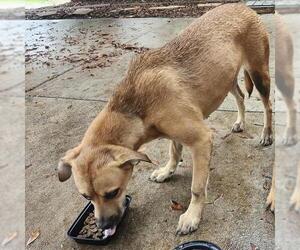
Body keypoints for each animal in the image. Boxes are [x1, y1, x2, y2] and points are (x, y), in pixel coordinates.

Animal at [57, 2, 274, 235]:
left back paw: (267, 134)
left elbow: (197, 187)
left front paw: (192, 215)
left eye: (112, 192)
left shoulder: (201, 139)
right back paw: (240, 122)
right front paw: (167, 171)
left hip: (259, 73)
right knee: (241, 96)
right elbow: (174, 151)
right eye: (86, 196)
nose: (103, 227)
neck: (134, 109)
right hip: (226, 79)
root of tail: (242, 6)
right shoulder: (174, 131)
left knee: (268, 106)